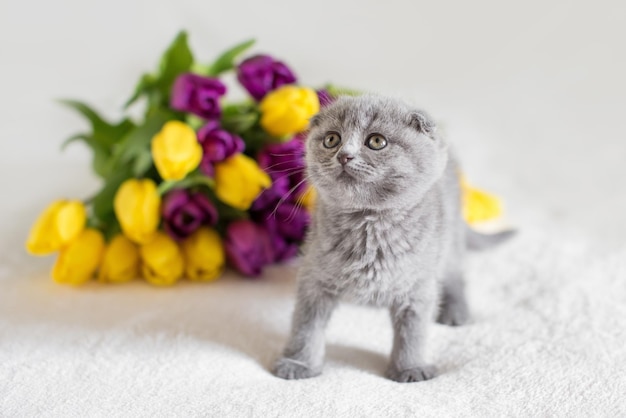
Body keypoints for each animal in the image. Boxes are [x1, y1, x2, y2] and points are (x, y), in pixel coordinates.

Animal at [270, 94, 510, 382]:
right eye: (331, 139)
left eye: (376, 141)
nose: (344, 156)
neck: (368, 225)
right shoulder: (313, 278)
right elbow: (305, 327)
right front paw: (298, 364)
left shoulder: (417, 288)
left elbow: (413, 332)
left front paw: (410, 369)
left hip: (449, 237)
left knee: (455, 274)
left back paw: (456, 312)